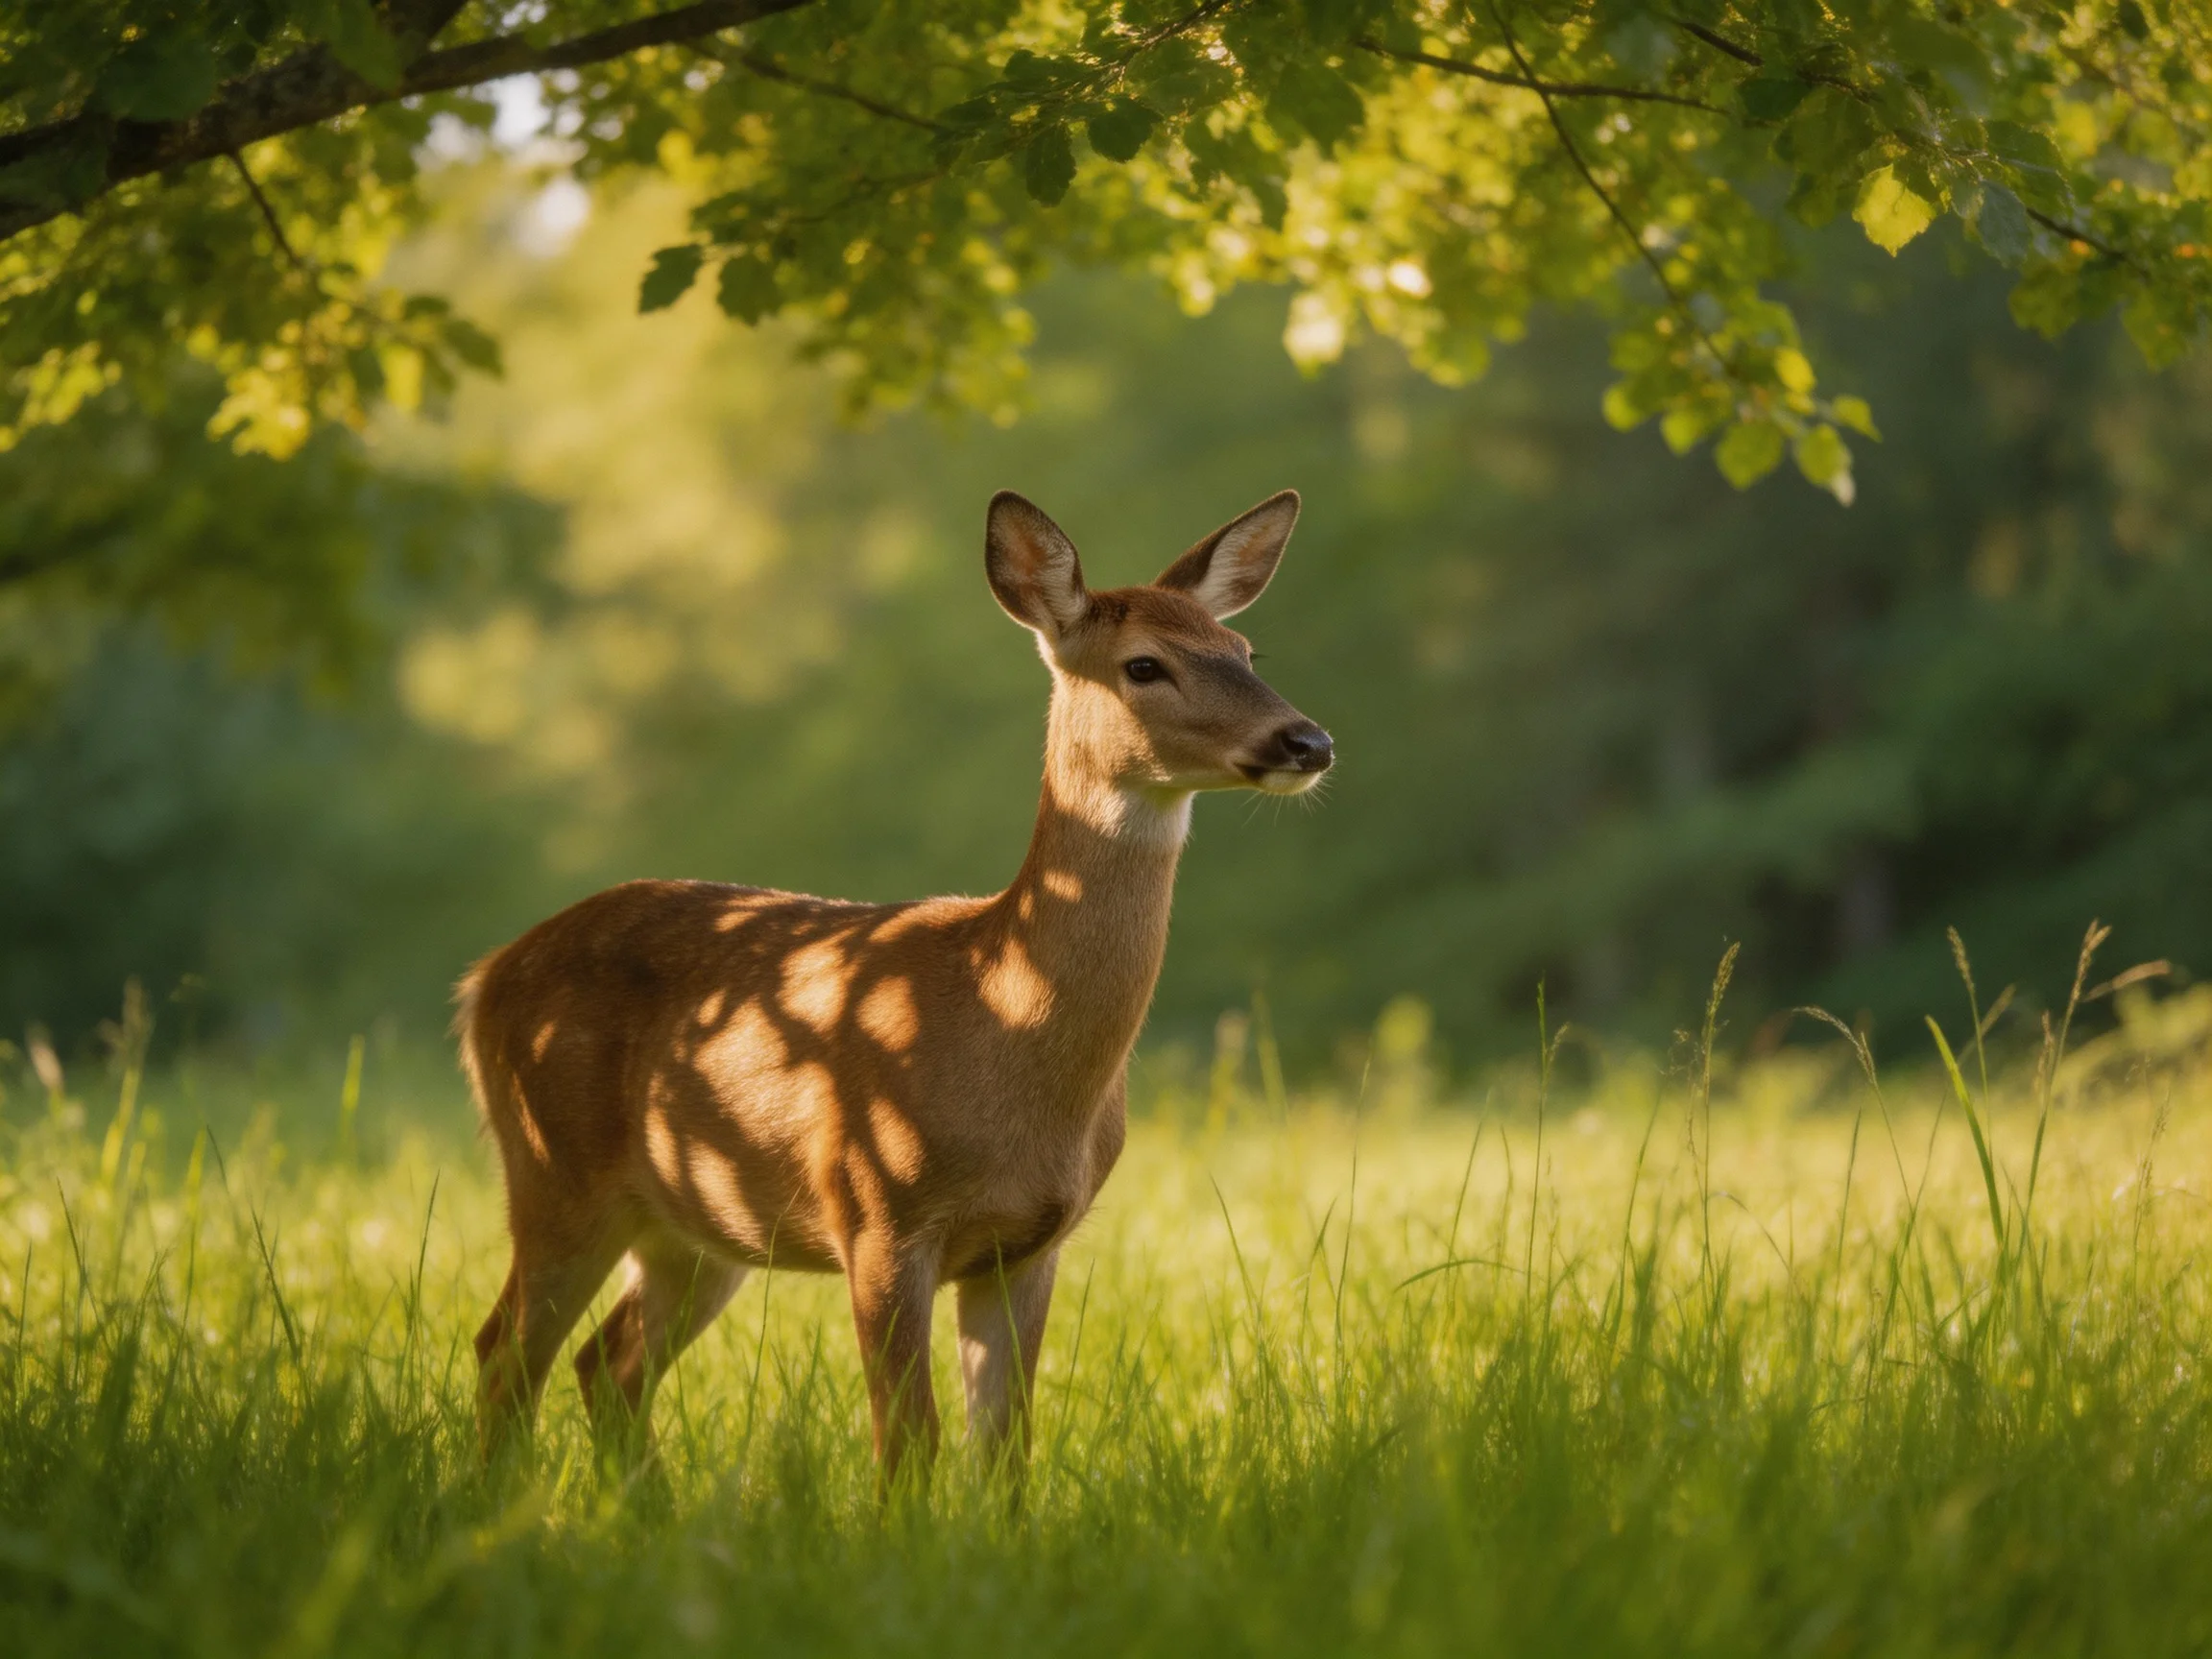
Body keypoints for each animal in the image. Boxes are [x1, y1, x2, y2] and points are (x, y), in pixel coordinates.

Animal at [459, 488, 1333, 1485]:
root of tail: (484, 978)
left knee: (607, 1361)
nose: (1308, 740)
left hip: (696, 1220)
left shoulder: (1031, 1244)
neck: (999, 1015)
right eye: (1144, 664)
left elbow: (1005, 1452)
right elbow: (908, 1441)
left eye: (1245, 651)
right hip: (553, 1172)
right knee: (504, 1354)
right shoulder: (877, 1214)